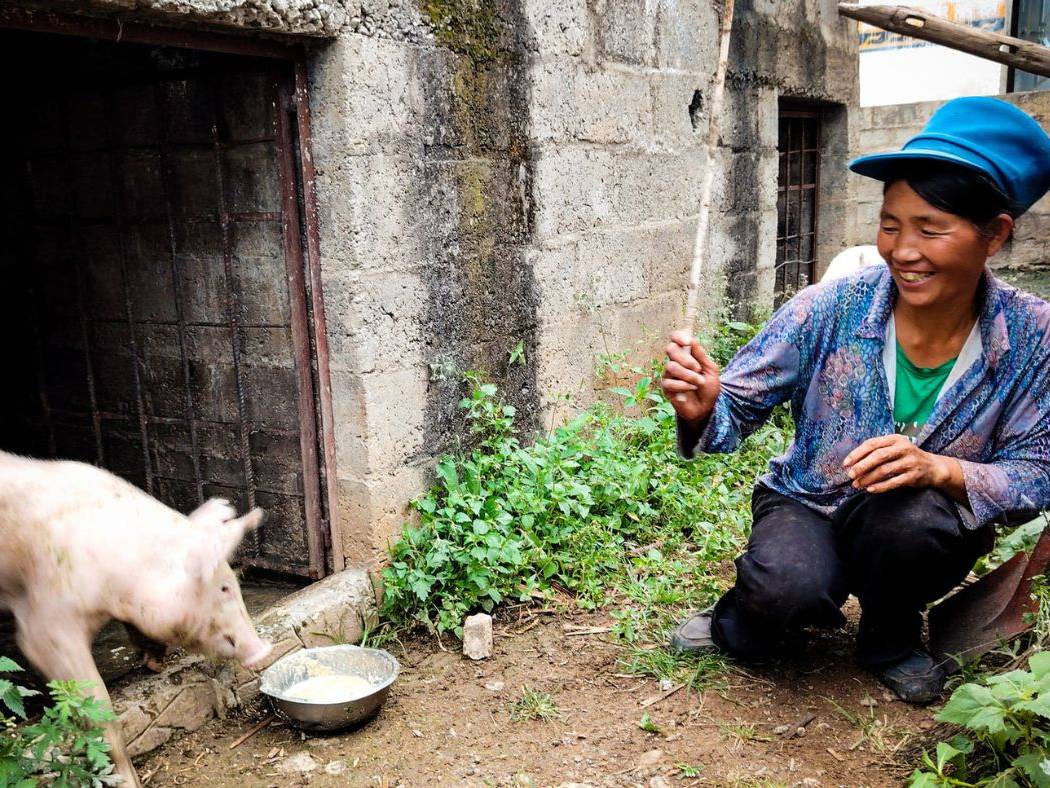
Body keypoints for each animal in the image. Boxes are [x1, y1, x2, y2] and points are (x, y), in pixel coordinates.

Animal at [0, 453, 275, 785]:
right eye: (223, 587)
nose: (265, 650)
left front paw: (155, 663)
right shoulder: (46, 622)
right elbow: (99, 708)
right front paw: (129, 781)